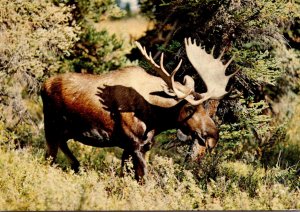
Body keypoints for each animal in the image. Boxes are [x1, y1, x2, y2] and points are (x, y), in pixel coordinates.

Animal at [41, 37, 236, 180]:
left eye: (204, 107)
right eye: (189, 108)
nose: (213, 136)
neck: (156, 118)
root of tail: (43, 86)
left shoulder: (137, 147)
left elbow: (126, 176)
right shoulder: (135, 145)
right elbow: (143, 180)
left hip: (66, 131)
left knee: (61, 147)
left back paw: (77, 165)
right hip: (50, 126)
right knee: (49, 156)